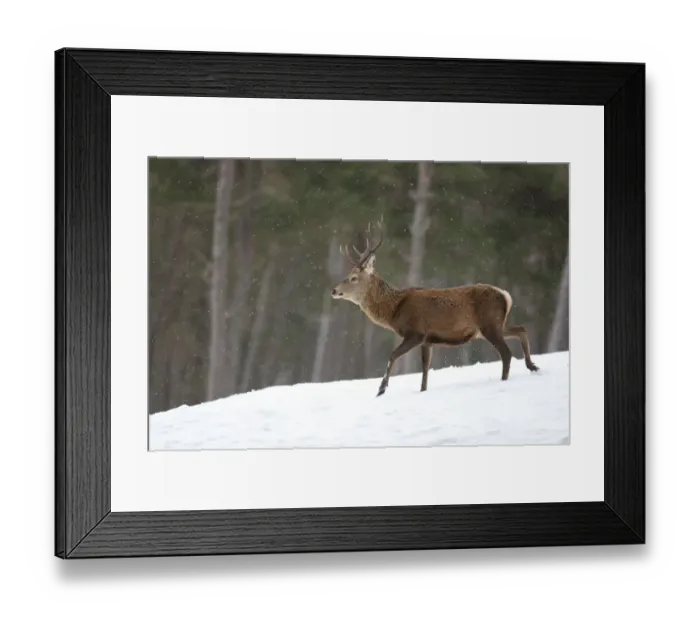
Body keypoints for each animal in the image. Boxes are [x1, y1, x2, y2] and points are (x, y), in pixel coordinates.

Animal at [331, 221, 540, 397]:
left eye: (353, 278)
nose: (334, 290)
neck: (394, 310)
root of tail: (505, 295)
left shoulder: (415, 332)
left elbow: (393, 355)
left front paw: (381, 389)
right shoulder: (428, 340)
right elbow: (425, 369)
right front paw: (422, 391)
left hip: (489, 323)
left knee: (507, 353)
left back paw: (505, 379)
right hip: (495, 325)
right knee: (521, 329)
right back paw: (532, 366)